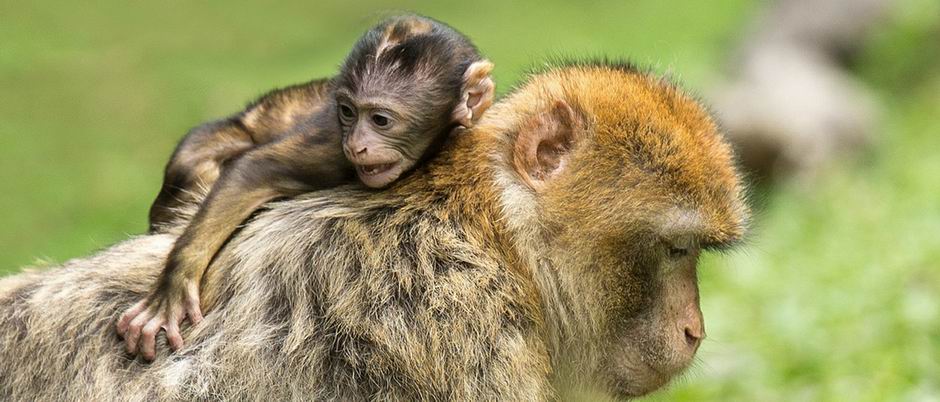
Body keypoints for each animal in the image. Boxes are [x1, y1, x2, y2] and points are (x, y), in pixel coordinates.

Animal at [119, 16, 492, 362]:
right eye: (347, 112)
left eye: (380, 120)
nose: (357, 145)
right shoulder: (332, 147)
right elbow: (254, 171)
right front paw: (173, 289)